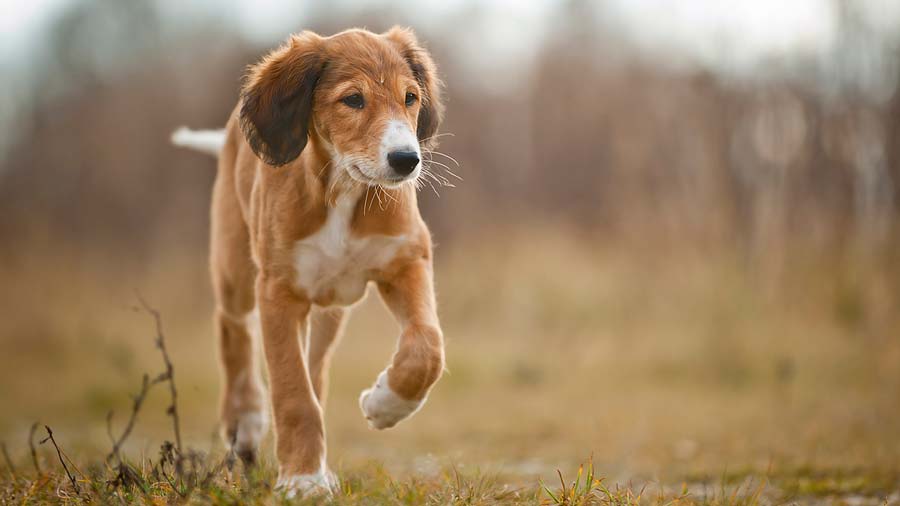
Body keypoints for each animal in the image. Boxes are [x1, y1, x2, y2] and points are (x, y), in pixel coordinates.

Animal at [171, 25, 444, 496]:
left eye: (410, 97)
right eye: (353, 100)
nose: (407, 160)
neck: (344, 190)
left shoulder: (406, 261)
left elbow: (427, 347)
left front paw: (384, 404)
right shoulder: (279, 292)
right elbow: (293, 393)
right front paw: (302, 480)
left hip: (330, 308)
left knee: (316, 370)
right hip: (237, 273)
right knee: (232, 329)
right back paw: (246, 423)